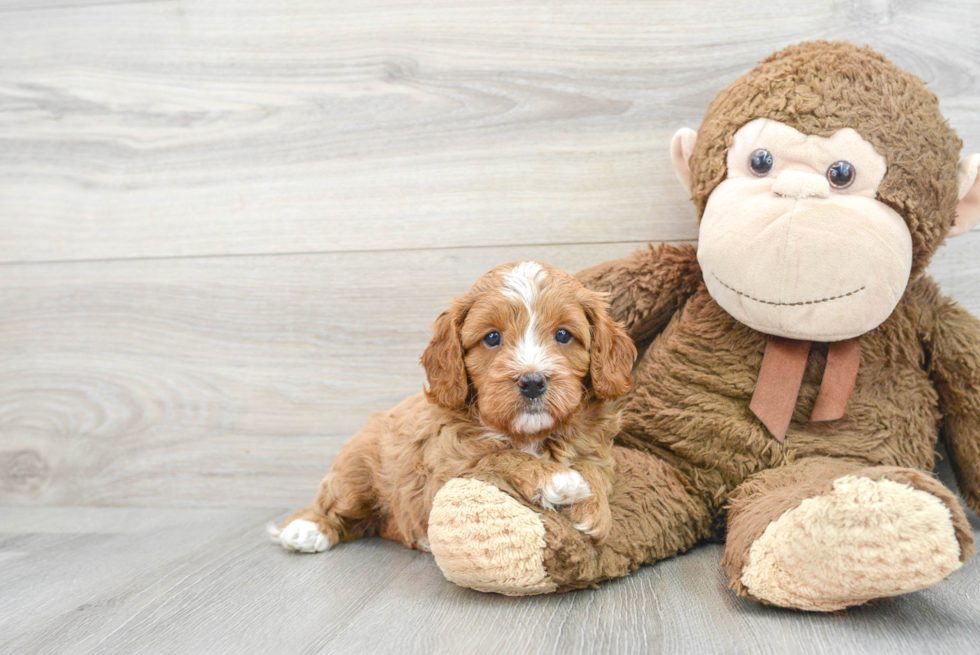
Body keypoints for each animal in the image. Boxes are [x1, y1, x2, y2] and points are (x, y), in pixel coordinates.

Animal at [268, 262, 636, 552]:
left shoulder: (596, 450)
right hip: (354, 472)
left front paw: (593, 508)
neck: (528, 434)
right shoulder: (449, 464)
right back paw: (306, 529)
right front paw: (557, 480)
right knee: (335, 503)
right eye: (491, 338)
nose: (532, 382)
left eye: (563, 335)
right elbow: (498, 456)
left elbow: (593, 470)